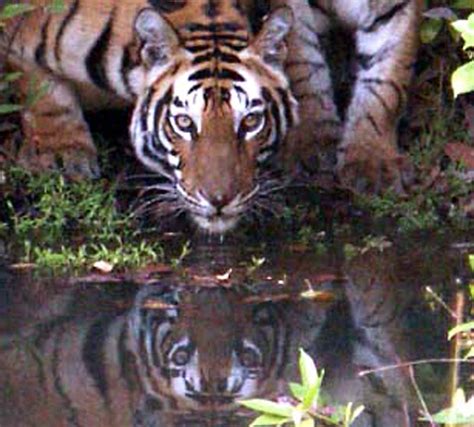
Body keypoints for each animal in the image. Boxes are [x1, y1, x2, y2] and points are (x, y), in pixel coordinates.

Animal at [1, 0, 420, 234]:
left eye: (250, 122)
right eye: (184, 123)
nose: (220, 200)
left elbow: (386, 82)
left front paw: (371, 161)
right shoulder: (21, 32)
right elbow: (43, 92)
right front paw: (62, 153)